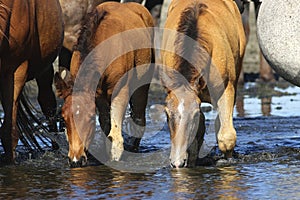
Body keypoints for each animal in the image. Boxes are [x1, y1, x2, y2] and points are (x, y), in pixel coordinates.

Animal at [54, 1, 155, 167]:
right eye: (63, 118)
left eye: (90, 117)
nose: (75, 160)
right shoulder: (99, 96)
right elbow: (105, 126)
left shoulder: (121, 90)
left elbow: (115, 133)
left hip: (142, 85)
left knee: (139, 117)